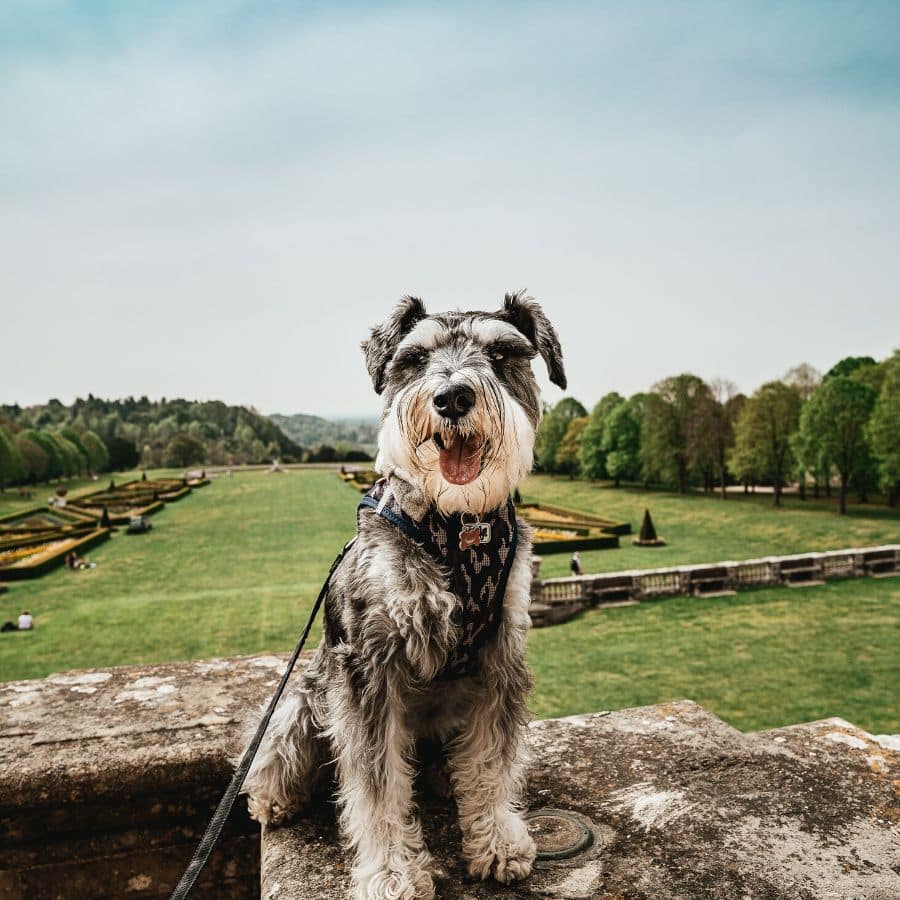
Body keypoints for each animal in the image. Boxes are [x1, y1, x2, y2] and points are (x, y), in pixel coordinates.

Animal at [243, 294, 568, 900]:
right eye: (414, 359)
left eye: (502, 353)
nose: (452, 397)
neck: (459, 525)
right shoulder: (369, 666)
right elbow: (376, 787)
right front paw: (391, 874)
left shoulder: (501, 654)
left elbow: (493, 759)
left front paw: (495, 841)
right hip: (305, 699)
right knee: (276, 749)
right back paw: (272, 798)